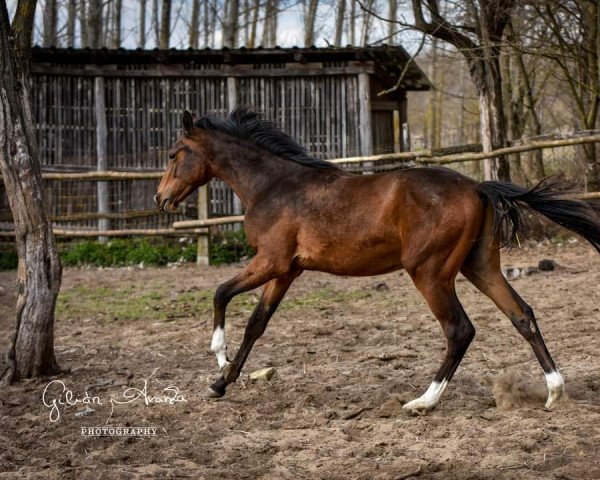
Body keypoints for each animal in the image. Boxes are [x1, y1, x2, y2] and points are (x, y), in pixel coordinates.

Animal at [156, 108, 600, 412]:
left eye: (175, 154)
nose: (161, 199)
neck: (273, 186)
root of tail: (478, 186)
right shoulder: (287, 271)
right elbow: (256, 324)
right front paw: (221, 382)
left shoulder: (272, 262)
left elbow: (220, 293)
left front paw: (218, 357)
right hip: (480, 267)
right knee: (522, 315)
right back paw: (554, 391)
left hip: (430, 273)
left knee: (460, 330)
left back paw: (423, 402)